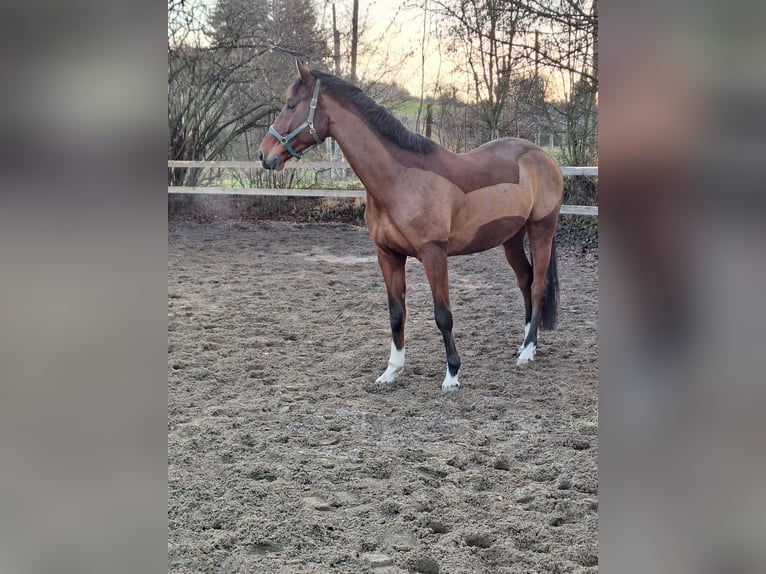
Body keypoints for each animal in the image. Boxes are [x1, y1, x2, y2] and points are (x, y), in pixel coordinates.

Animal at [258, 61, 564, 392]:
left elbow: (443, 315)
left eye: (291, 105)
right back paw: (525, 344)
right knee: (525, 280)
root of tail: (544, 157)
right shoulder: (388, 255)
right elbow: (396, 313)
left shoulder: (434, 254)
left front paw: (452, 374)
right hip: (512, 237)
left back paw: (528, 352)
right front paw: (391, 370)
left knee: (537, 285)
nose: (264, 155)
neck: (399, 181)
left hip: (541, 229)